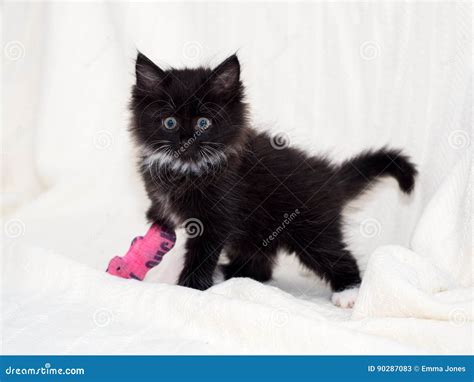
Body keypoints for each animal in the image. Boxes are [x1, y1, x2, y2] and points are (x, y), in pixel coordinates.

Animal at [129, 52, 414, 302]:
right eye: (169, 123)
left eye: (203, 123)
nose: (186, 139)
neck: (187, 169)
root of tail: (331, 177)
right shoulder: (163, 204)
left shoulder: (216, 219)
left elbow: (200, 256)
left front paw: (188, 288)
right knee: (261, 268)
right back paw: (226, 273)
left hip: (311, 227)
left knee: (335, 254)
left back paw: (349, 293)